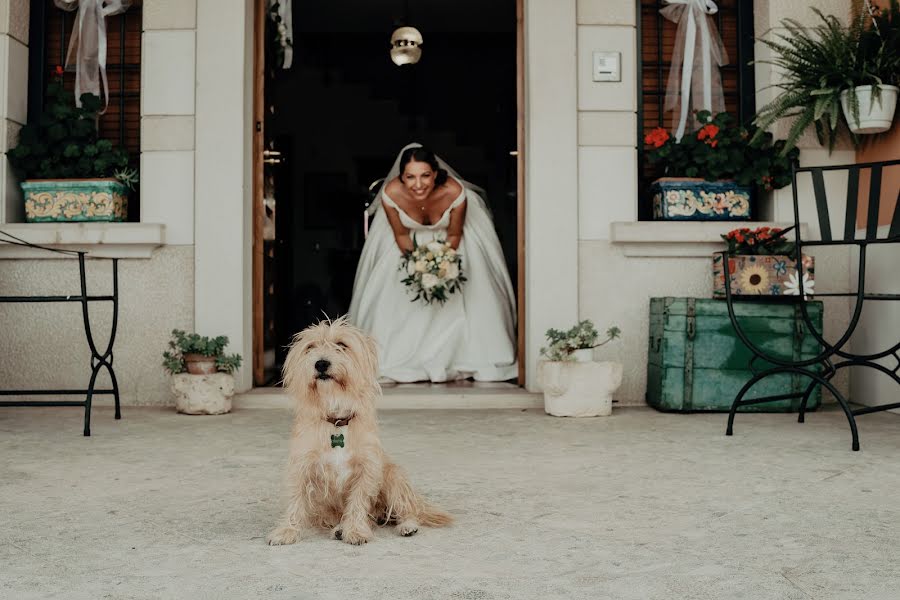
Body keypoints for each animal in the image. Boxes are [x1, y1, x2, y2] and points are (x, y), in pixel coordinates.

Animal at [266, 316, 450, 548]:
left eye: (341, 345)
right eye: (310, 347)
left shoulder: (367, 468)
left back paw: (407, 525)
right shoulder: (301, 466)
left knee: (406, 510)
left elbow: (358, 502)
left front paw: (355, 530)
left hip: (393, 475)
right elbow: (295, 500)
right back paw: (340, 528)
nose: (321, 363)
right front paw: (287, 530)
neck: (336, 419)